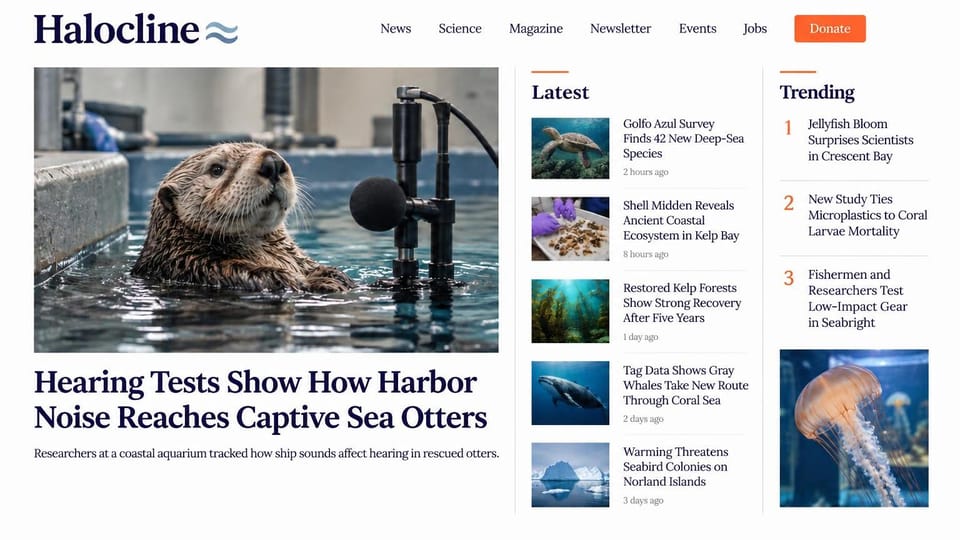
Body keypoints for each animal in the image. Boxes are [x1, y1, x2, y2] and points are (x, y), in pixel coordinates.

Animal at [131, 142, 355, 293]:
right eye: (216, 169)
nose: (273, 163)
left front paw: (336, 276)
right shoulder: (205, 268)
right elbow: (273, 277)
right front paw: (321, 283)